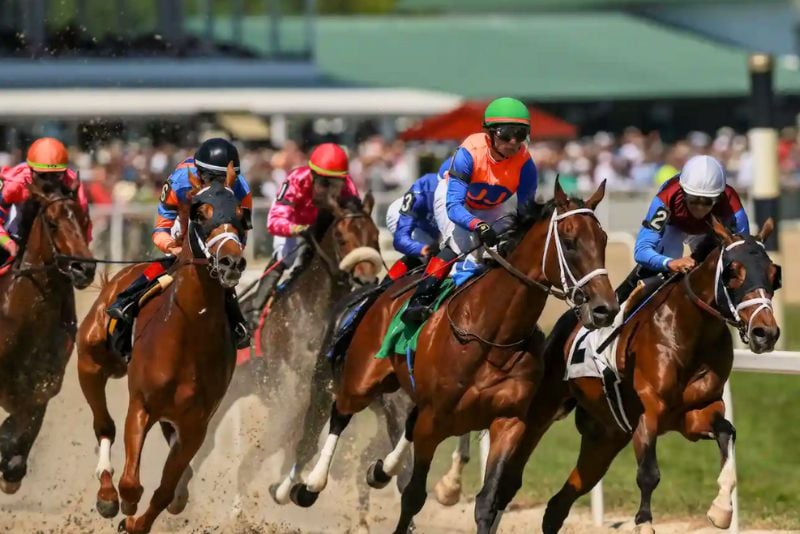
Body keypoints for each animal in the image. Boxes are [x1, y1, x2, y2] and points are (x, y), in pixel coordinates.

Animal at [78, 169, 248, 534]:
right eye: (201, 213)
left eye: (241, 216)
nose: (231, 261)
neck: (188, 333)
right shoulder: (141, 405)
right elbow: (131, 483)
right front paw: (125, 504)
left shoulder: (196, 423)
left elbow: (166, 488)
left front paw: (137, 521)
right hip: (91, 362)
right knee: (104, 425)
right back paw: (106, 494)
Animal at [290, 181, 616, 534]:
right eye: (569, 243)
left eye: (603, 240)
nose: (605, 308)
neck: (493, 337)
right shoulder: (433, 423)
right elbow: (413, 495)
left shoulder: (509, 421)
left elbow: (488, 501)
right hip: (362, 379)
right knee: (340, 413)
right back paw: (307, 486)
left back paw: (379, 470)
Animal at [512, 218, 780, 534]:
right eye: (733, 272)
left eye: (773, 274)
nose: (766, 333)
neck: (688, 332)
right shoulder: (648, 411)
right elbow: (648, 473)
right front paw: (644, 523)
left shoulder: (696, 413)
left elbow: (728, 432)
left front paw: (721, 509)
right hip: (543, 411)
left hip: (605, 437)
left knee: (558, 504)